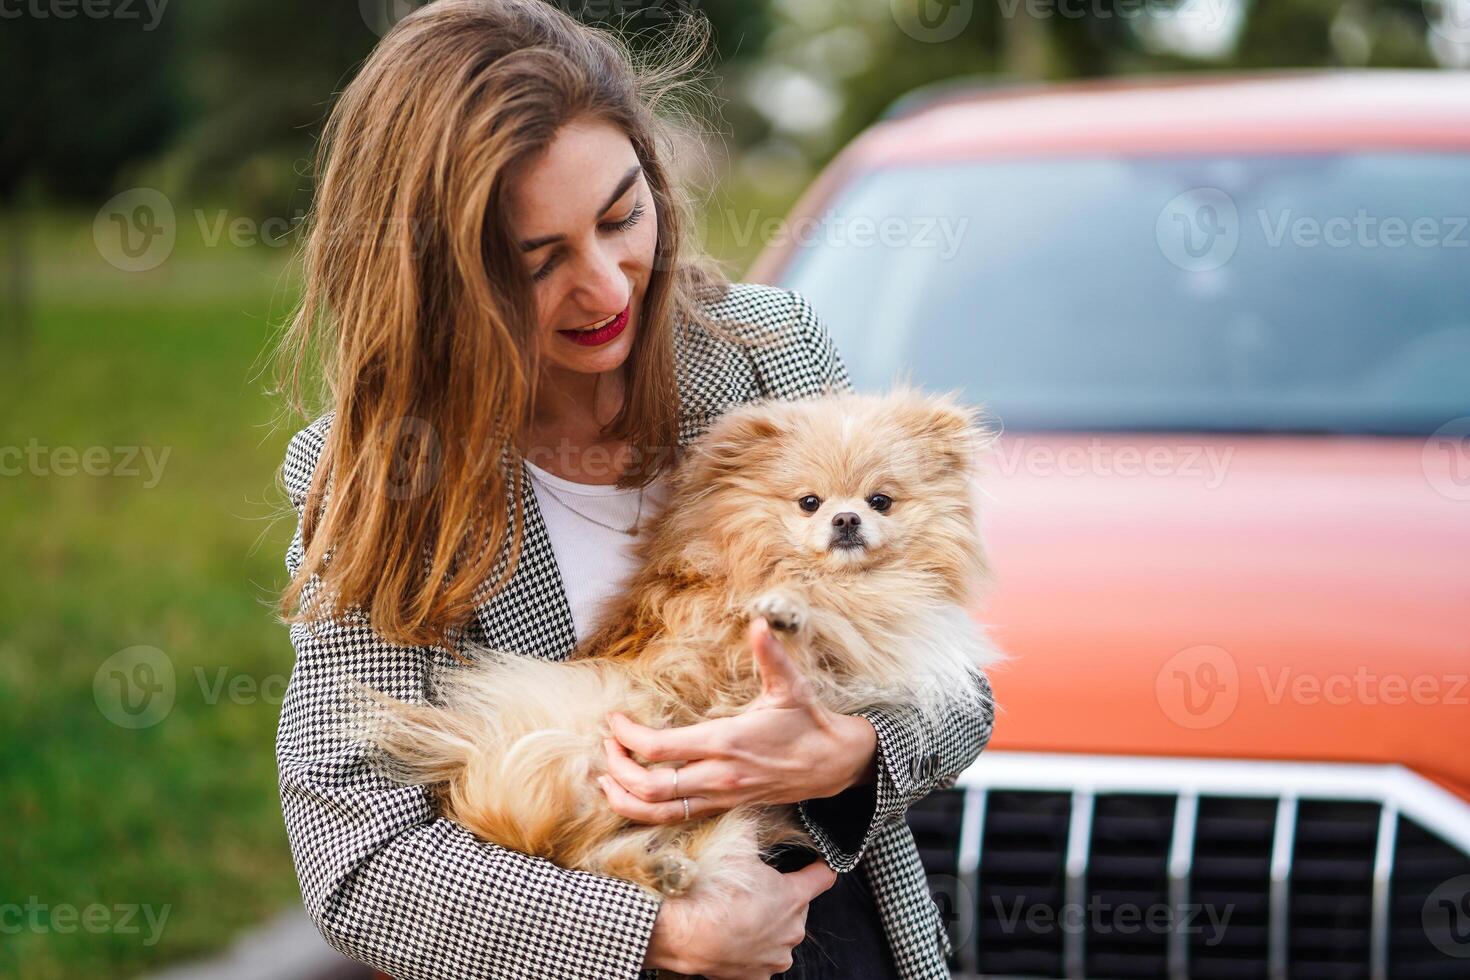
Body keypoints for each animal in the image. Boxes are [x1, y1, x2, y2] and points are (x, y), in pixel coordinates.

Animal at [360, 387, 993, 905]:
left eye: (881, 501)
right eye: (809, 503)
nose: (845, 519)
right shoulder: (728, 637)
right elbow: (808, 617)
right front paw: (788, 611)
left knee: (589, 856)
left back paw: (662, 869)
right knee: (571, 850)